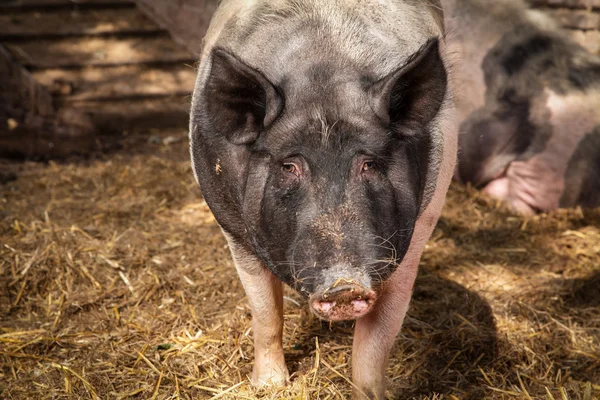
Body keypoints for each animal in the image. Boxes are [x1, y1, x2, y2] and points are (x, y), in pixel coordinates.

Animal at [190, 1, 458, 398]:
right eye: (289, 166)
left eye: (370, 163)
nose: (344, 286)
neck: (323, 72)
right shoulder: (234, 232)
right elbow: (265, 313)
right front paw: (269, 386)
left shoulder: (419, 227)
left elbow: (376, 341)